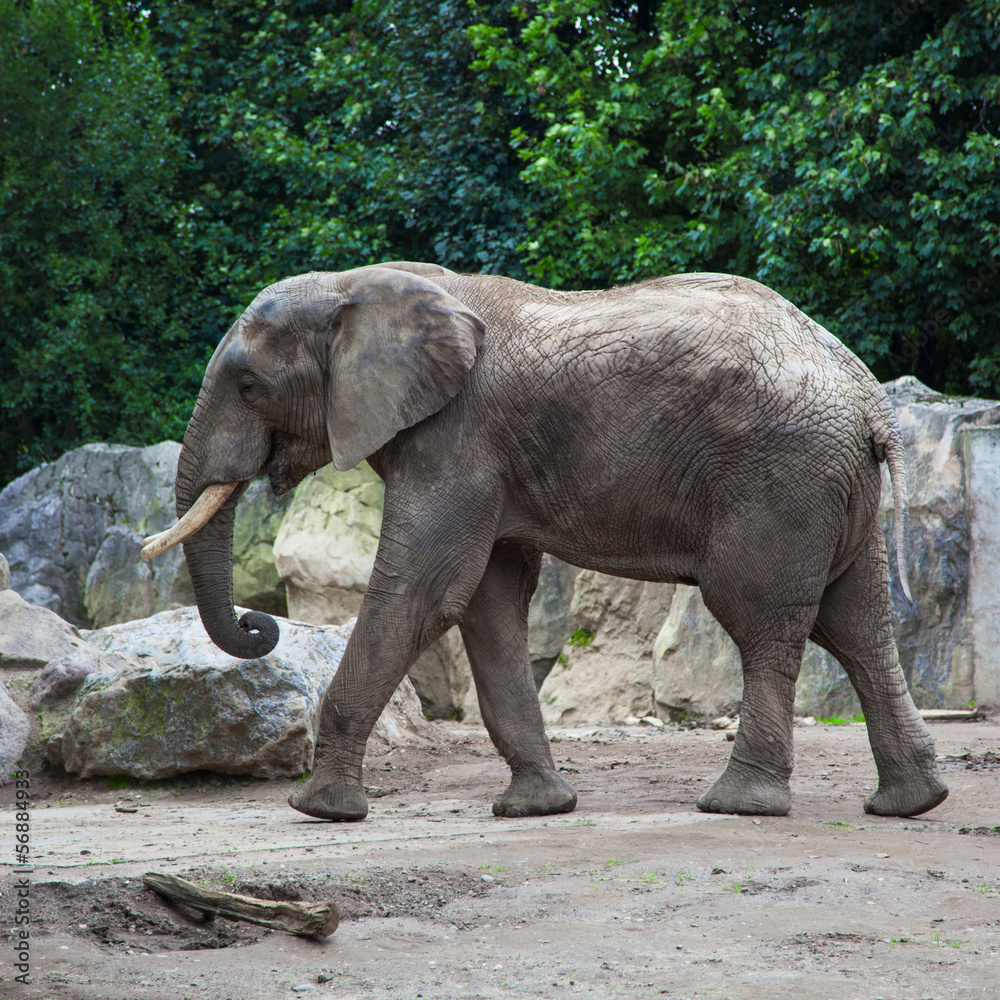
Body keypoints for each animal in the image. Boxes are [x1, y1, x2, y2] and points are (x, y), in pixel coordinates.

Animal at [142, 261, 948, 822]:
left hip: (780, 480)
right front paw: (537, 809)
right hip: (833, 489)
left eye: (249, 385)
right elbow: (487, 599)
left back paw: (738, 804)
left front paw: (321, 811)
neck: (361, 285)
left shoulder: (456, 437)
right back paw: (912, 802)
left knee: (761, 619)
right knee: (857, 625)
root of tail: (870, 400)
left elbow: (425, 589)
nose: (261, 623)